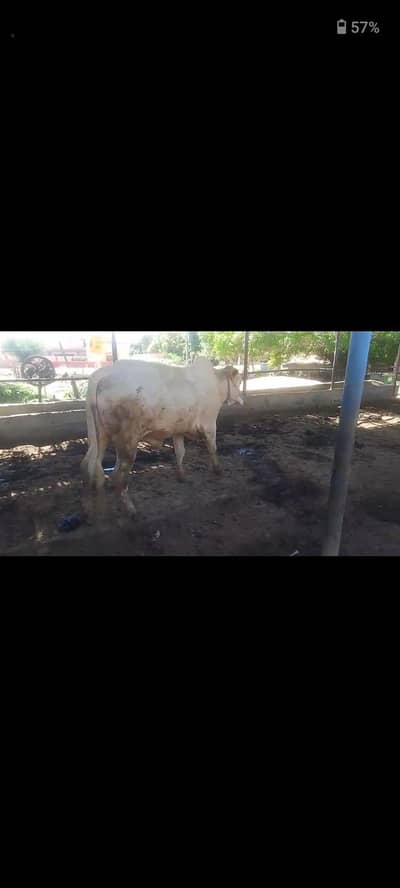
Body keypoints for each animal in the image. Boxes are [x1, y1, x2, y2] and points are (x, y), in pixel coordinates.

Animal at [81, 356, 243, 518]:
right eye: (239, 381)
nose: (242, 399)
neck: (216, 382)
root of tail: (102, 376)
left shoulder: (178, 430)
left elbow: (180, 452)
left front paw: (181, 476)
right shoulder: (210, 424)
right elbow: (212, 448)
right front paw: (218, 470)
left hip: (100, 437)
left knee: (90, 466)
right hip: (128, 440)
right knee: (119, 475)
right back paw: (130, 509)